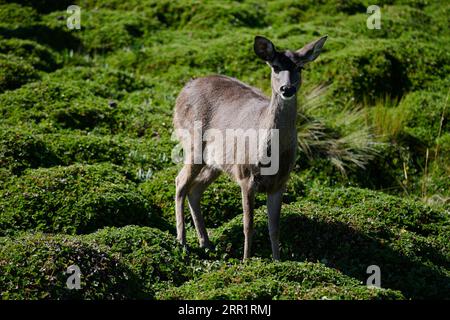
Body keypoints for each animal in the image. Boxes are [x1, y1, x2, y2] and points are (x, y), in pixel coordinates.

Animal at [173, 35, 326, 260]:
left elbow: (274, 227)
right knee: (181, 182)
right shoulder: (245, 175)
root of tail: (184, 89)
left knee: (195, 189)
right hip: (193, 144)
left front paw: (277, 261)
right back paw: (182, 242)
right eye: (275, 66)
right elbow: (248, 224)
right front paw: (246, 260)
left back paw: (206, 243)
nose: (287, 89)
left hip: (215, 162)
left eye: (300, 67)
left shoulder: (281, 182)